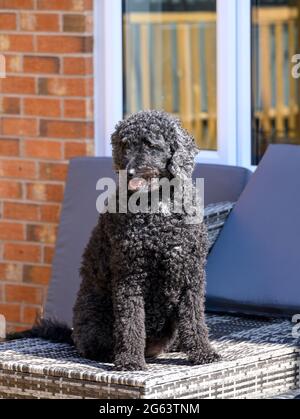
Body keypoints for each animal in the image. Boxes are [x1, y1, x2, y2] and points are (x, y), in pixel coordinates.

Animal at [7, 110, 218, 370]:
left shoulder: (190, 274)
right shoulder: (130, 276)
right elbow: (131, 322)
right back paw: (116, 354)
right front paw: (130, 361)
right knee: (98, 345)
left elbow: (195, 318)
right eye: (125, 145)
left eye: (150, 144)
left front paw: (203, 352)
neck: (158, 206)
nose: (129, 171)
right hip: (96, 315)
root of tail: (73, 334)